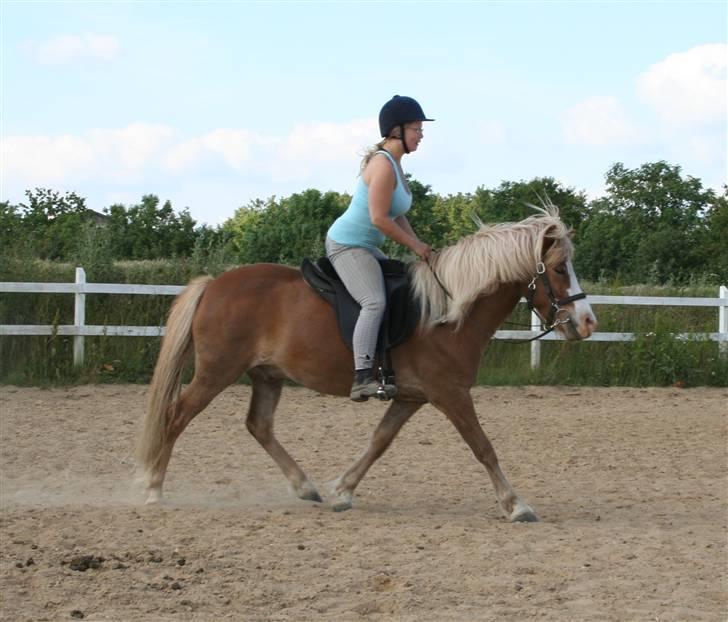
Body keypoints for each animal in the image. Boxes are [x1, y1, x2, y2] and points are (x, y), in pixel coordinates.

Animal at [136, 204, 596, 520]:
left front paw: (342, 490)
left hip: (267, 375)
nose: (587, 322)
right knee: (176, 416)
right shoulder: (451, 394)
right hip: (217, 371)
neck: (447, 311)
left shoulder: (412, 397)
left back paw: (305, 487)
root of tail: (215, 284)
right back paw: (153, 489)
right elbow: (483, 447)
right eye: (559, 269)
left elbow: (379, 441)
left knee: (259, 426)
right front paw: (516, 505)